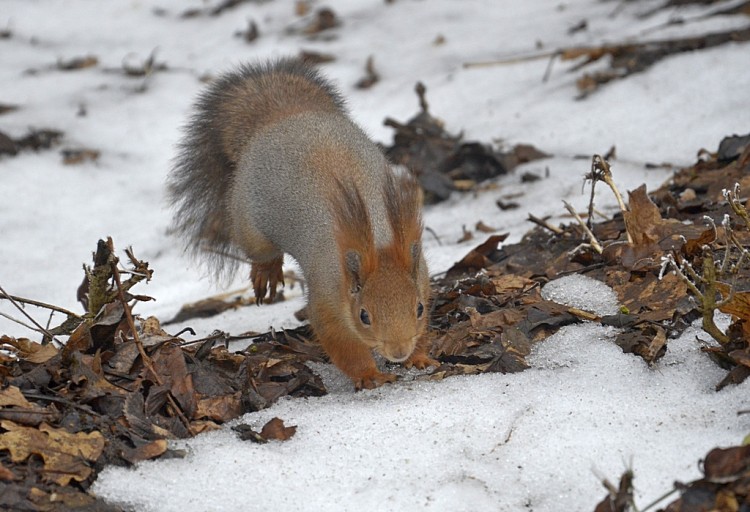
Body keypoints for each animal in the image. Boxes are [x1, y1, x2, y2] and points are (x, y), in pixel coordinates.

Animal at [167, 59, 438, 388]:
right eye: (364, 316)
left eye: (419, 308)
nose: (398, 352)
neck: (375, 240)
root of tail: (283, 116)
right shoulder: (327, 301)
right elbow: (342, 345)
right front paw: (369, 375)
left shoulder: (421, 278)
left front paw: (419, 356)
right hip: (248, 221)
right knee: (261, 253)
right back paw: (267, 273)